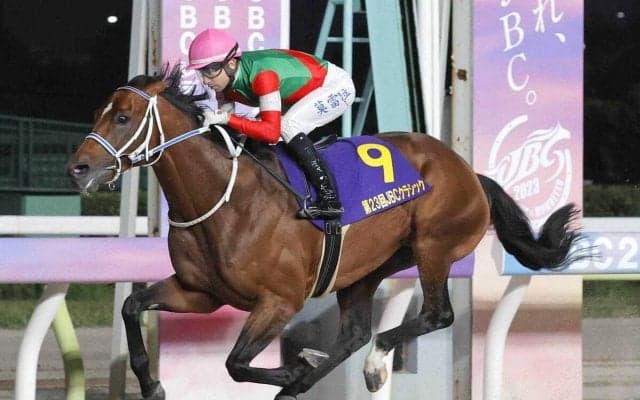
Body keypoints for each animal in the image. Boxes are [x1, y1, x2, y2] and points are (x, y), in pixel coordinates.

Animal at [67, 66, 588, 400]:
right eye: (98, 112)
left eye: (122, 117)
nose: (79, 168)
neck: (225, 200)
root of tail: (469, 171)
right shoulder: (200, 292)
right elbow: (133, 307)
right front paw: (152, 384)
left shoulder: (279, 301)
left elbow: (236, 364)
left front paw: (297, 369)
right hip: (366, 267)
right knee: (355, 333)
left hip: (433, 246)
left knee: (435, 315)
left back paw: (368, 366)